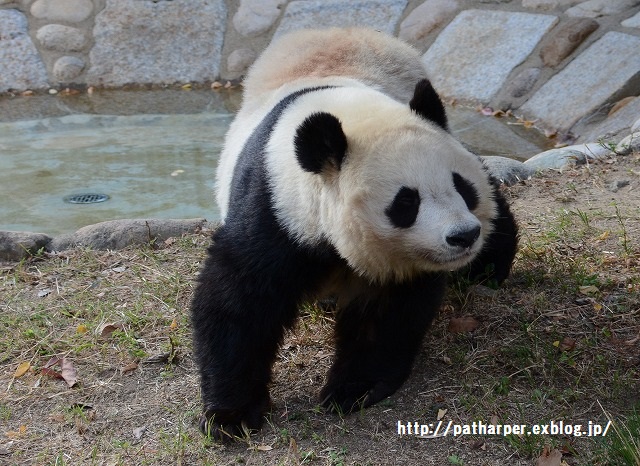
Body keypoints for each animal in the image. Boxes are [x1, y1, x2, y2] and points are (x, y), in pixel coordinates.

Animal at [189, 27, 516, 438]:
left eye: (462, 187)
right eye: (406, 202)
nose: (463, 236)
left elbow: (388, 308)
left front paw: (353, 388)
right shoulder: (276, 208)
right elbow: (241, 300)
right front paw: (231, 415)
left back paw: (489, 269)